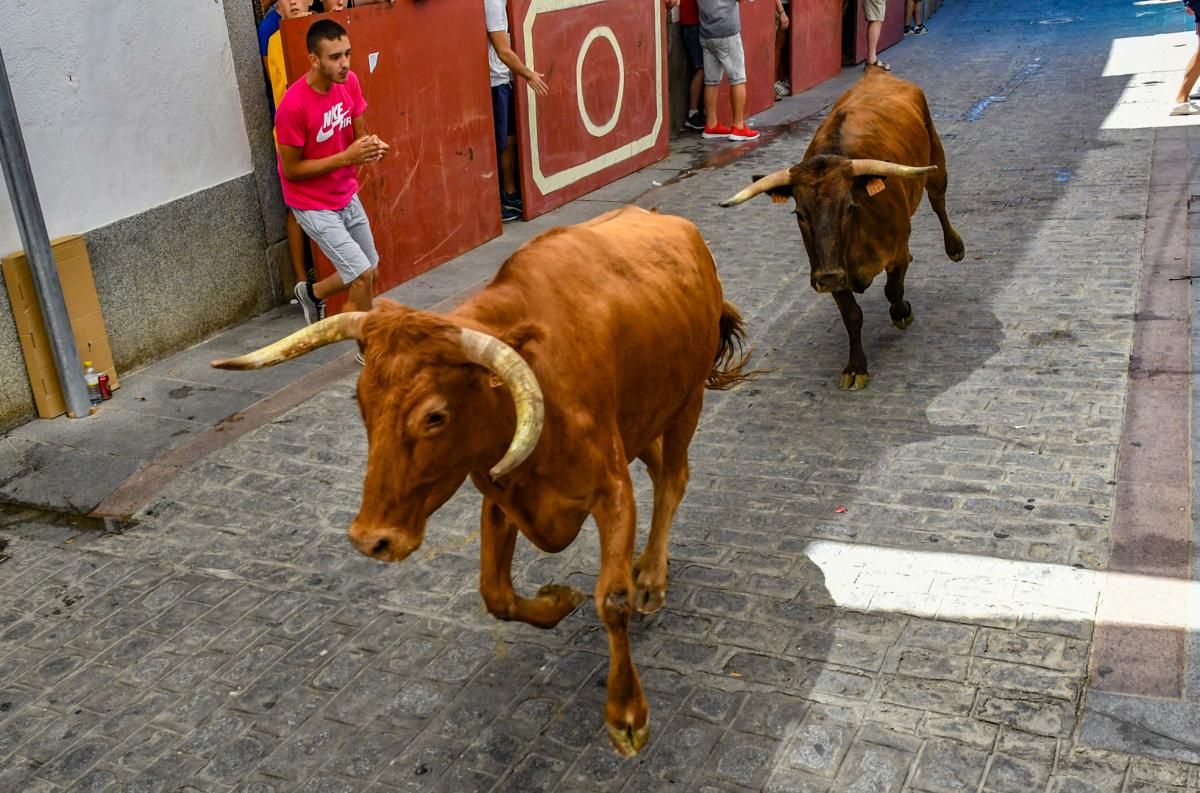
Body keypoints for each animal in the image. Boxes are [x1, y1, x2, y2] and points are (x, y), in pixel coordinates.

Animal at [715, 68, 960, 388]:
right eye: (799, 213)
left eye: (849, 207)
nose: (829, 276)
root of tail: (877, 73)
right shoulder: (827, 271)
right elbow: (852, 316)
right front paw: (856, 367)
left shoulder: (894, 253)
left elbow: (893, 289)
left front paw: (901, 313)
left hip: (936, 160)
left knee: (938, 201)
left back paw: (955, 247)